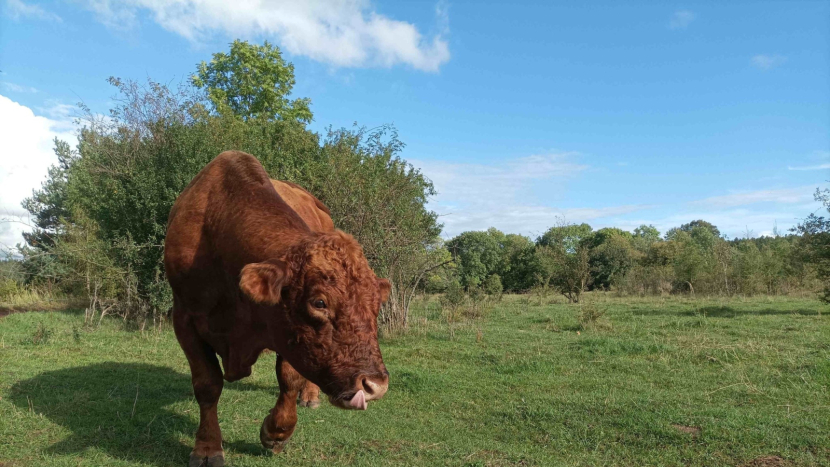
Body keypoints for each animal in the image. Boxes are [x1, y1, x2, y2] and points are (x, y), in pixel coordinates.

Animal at [167, 152, 394, 466]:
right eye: (319, 302)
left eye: (375, 305)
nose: (375, 385)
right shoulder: (184, 319)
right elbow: (207, 384)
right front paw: (207, 449)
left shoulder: (286, 334)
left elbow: (289, 379)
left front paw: (275, 433)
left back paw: (310, 397)